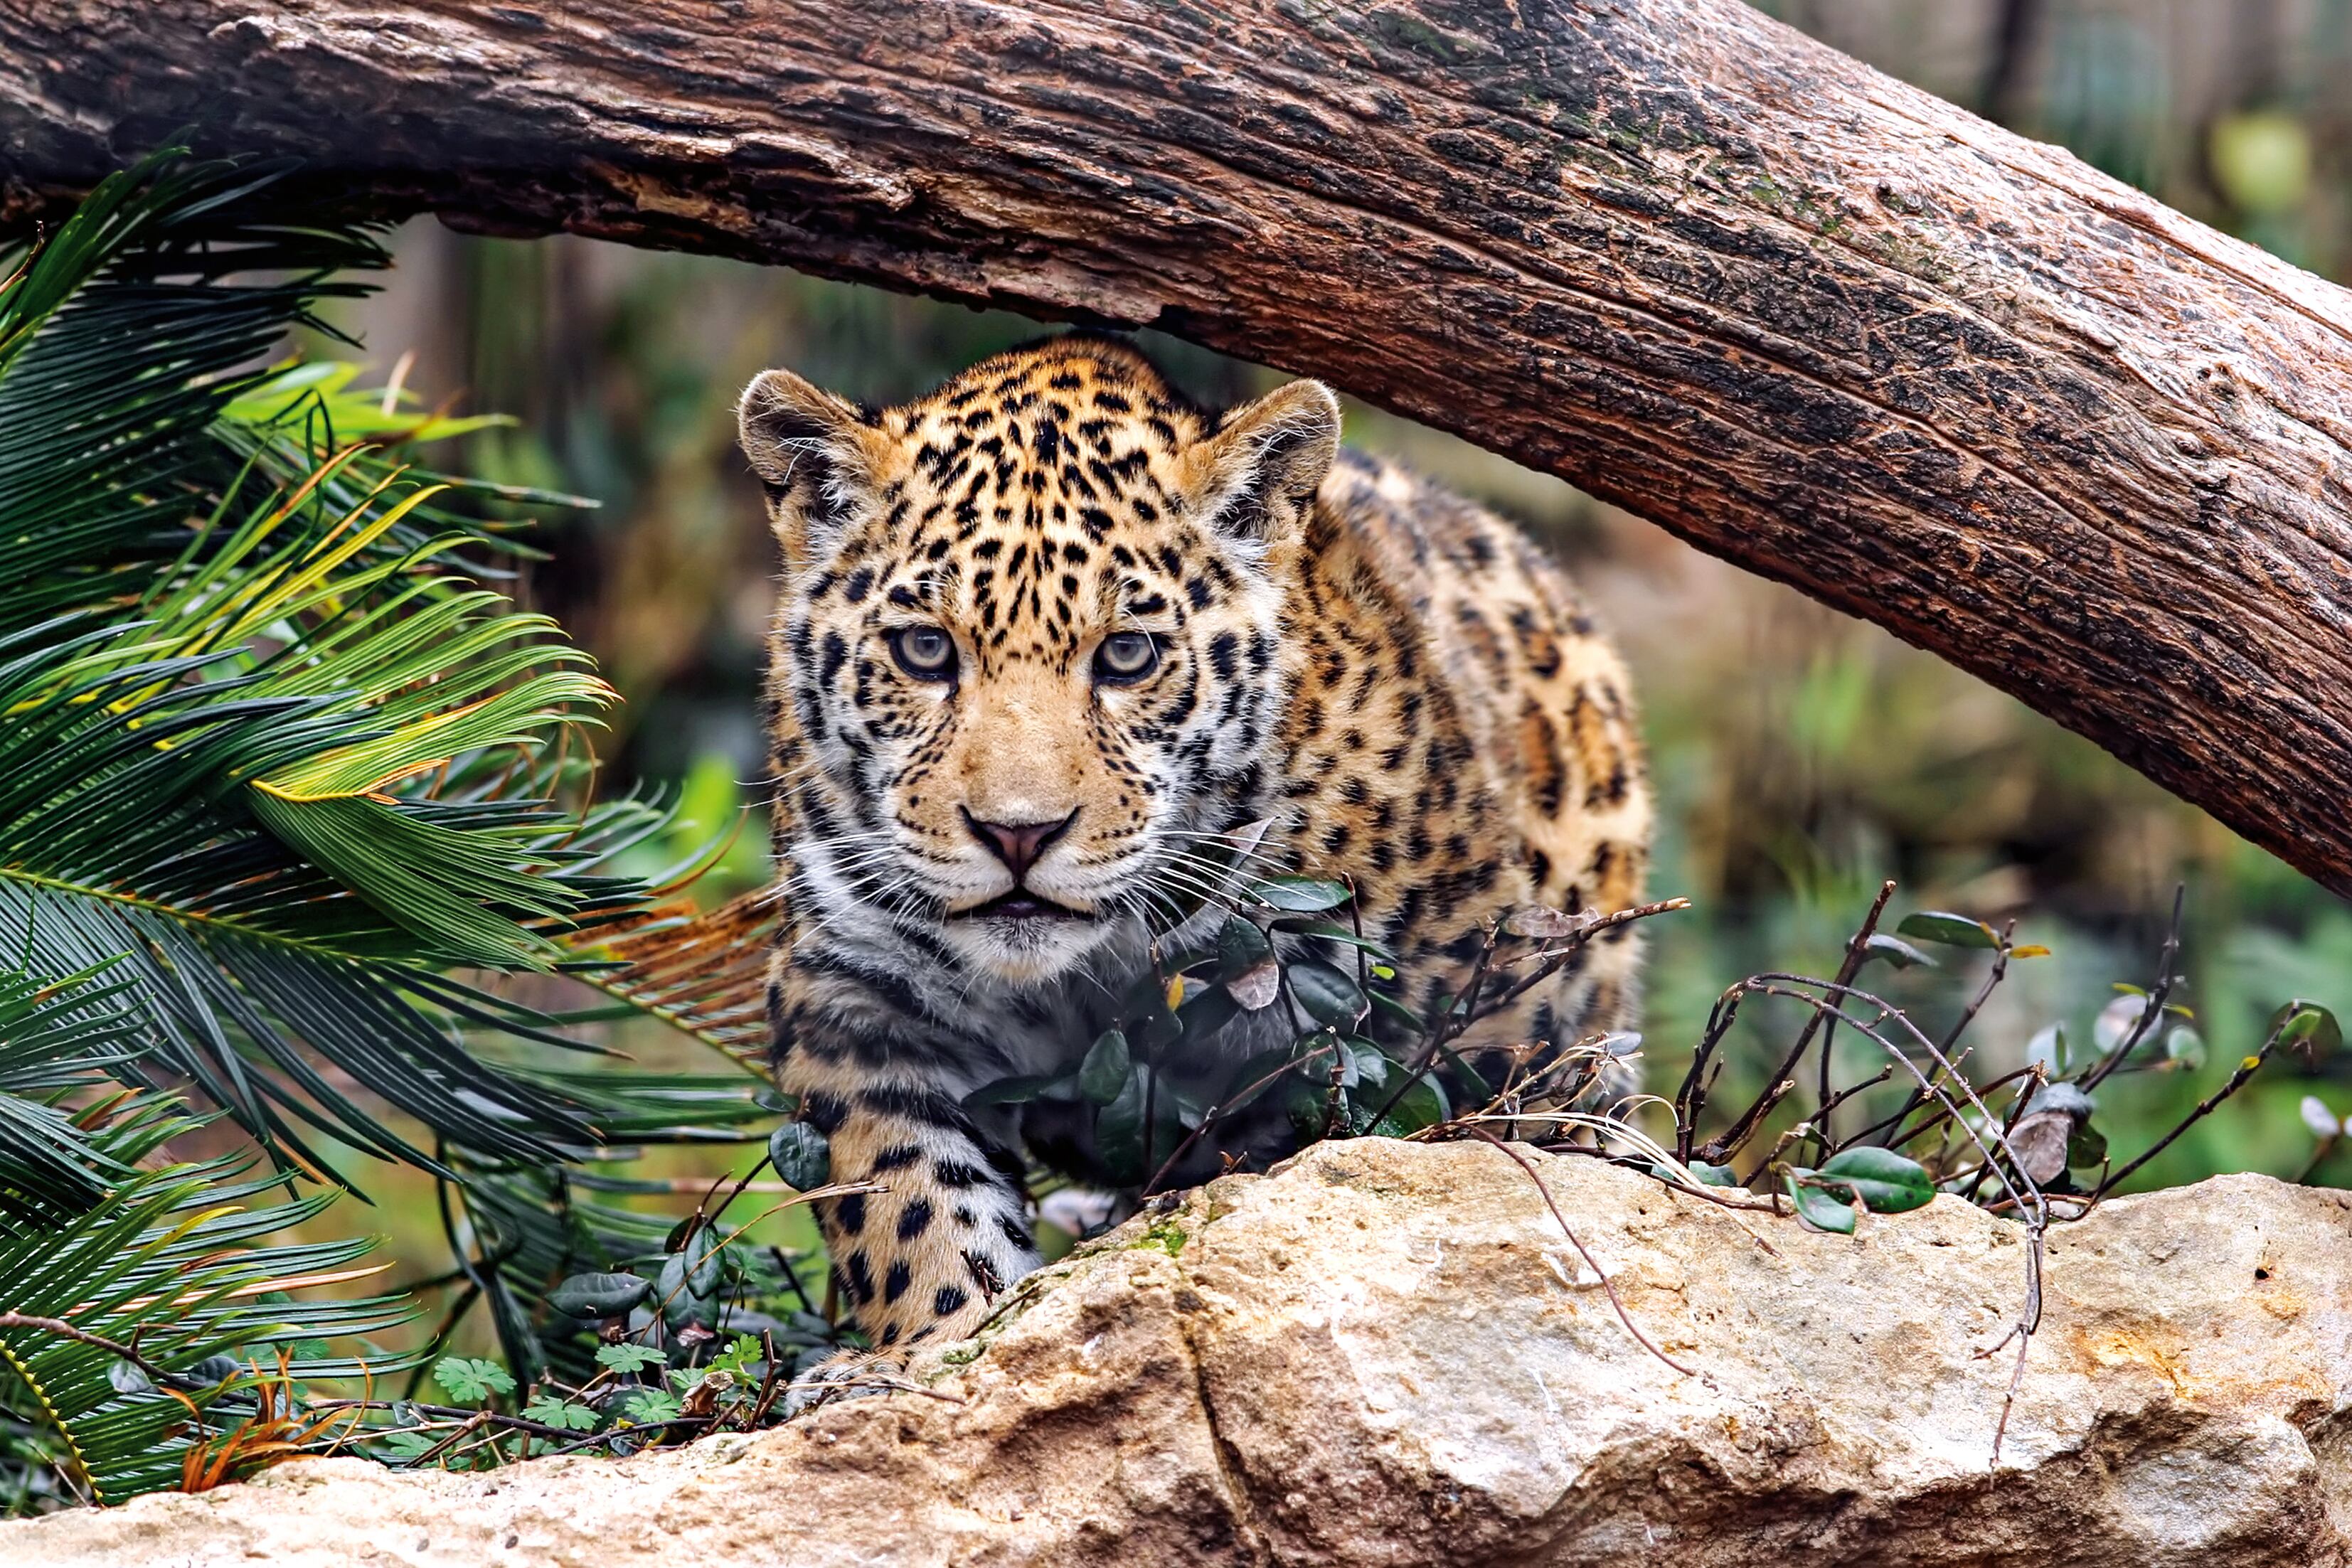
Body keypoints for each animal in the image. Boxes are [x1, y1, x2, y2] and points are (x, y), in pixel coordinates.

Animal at [737, 334, 1650, 1364]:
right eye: (924, 651)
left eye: (1127, 656)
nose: (1018, 833)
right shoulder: (854, 997)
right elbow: (908, 1208)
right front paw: (941, 1344)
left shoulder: (1462, 1028)